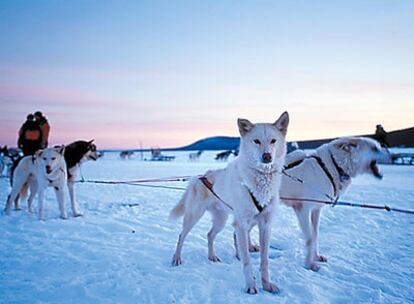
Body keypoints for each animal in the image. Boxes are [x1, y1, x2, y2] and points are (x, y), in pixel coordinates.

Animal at [170, 111, 290, 294]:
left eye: (273, 140)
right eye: (256, 141)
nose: (267, 156)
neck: (260, 181)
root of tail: (200, 177)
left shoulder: (265, 225)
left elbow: (264, 261)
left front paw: (267, 284)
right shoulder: (242, 224)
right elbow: (247, 262)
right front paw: (251, 286)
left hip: (222, 220)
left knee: (210, 235)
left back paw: (212, 256)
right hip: (194, 216)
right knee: (181, 236)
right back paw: (177, 258)